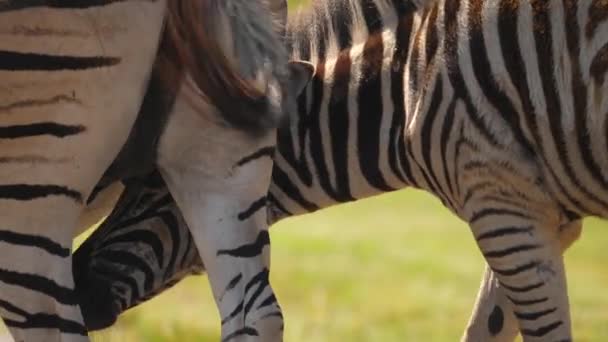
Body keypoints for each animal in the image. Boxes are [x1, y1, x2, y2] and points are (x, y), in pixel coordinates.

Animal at [75, 0, 608, 340]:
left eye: (153, 184)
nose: (78, 287)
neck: (408, 90)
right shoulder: (539, 218)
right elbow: (486, 328)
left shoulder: (502, 204)